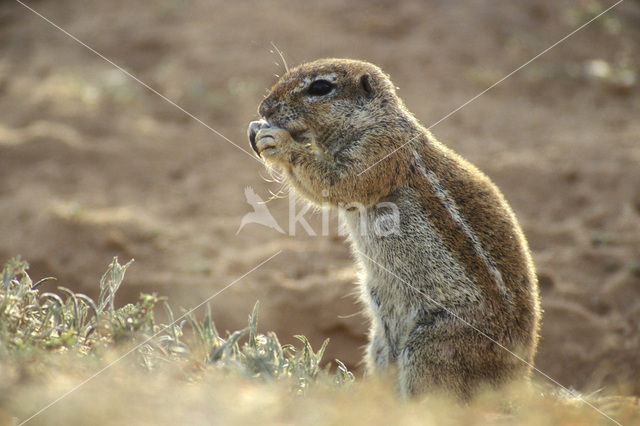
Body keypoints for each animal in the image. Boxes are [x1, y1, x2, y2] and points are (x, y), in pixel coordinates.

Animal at [248, 57, 536, 400]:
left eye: (320, 87)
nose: (264, 108)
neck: (375, 120)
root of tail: (518, 378)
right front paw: (255, 130)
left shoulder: (379, 149)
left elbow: (334, 182)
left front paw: (275, 140)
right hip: (380, 348)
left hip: (435, 346)